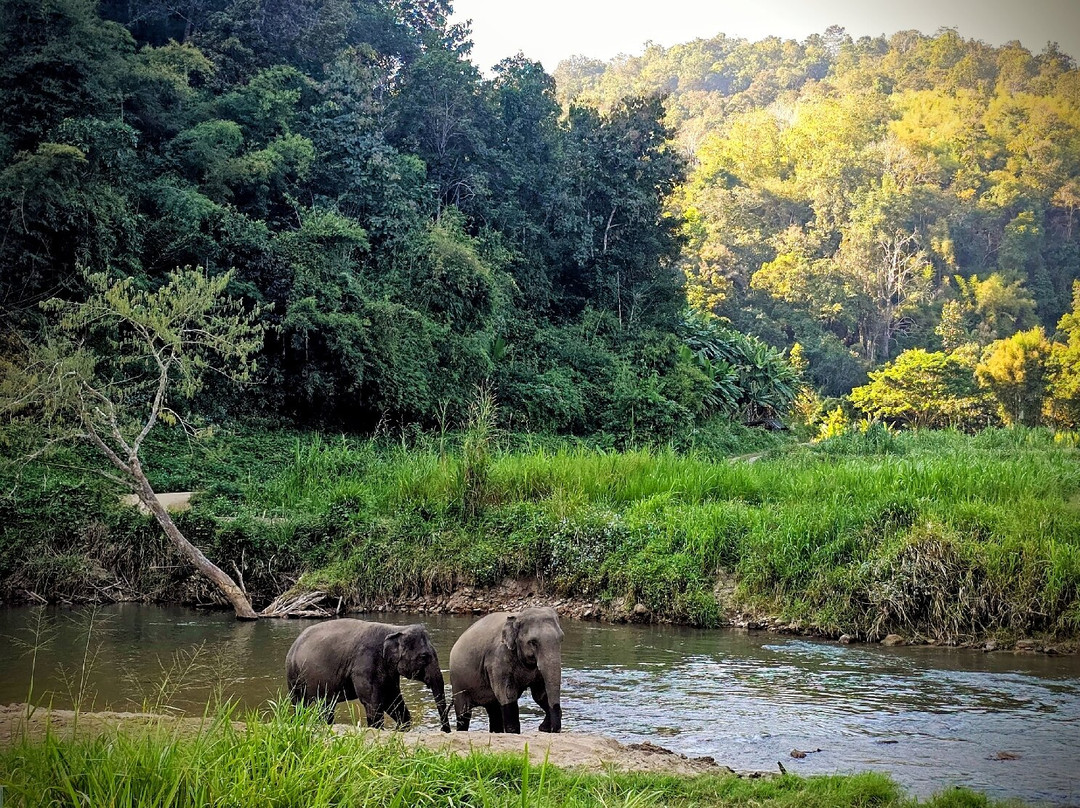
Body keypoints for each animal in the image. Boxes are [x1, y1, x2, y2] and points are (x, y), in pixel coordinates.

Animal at [285, 619, 451, 732]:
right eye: (424, 656)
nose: (444, 731)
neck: (394, 629)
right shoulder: (365, 663)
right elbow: (373, 703)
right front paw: (378, 730)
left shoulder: (389, 670)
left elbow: (392, 699)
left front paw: (400, 729)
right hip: (294, 676)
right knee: (300, 703)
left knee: (326, 705)